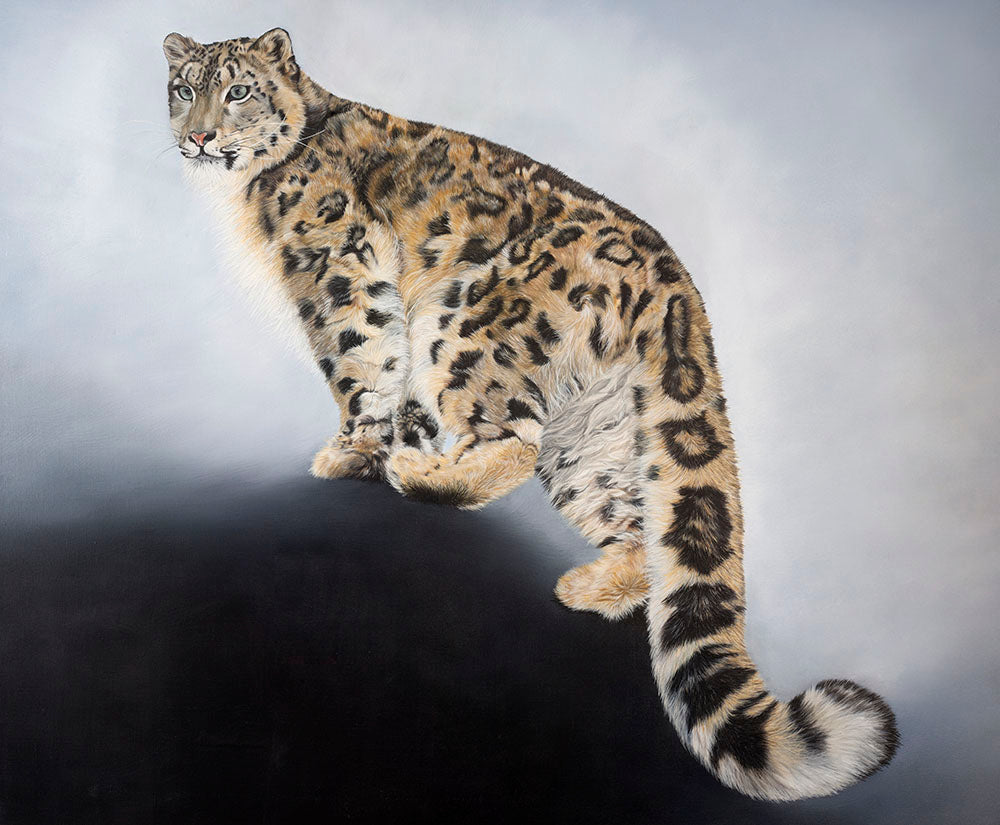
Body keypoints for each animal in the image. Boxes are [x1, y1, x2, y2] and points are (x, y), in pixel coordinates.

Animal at [163, 28, 898, 801]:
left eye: (239, 89)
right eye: (184, 88)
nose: (200, 134)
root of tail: (676, 285)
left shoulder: (336, 270)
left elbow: (363, 361)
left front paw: (354, 451)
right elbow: (396, 395)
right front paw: (389, 443)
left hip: (464, 323)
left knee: (513, 438)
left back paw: (421, 472)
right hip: (595, 438)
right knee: (635, 526)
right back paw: (584, 582)